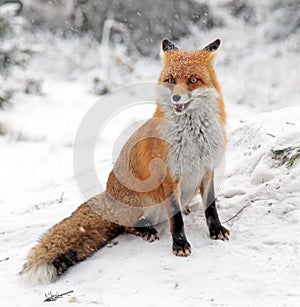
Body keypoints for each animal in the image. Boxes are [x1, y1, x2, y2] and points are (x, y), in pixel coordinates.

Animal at [21, 38, 230, 284]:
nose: (176, 97)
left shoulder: (207, 168)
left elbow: (211, 208)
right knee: (126, 226)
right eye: (170, 80)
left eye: (193, 80)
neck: (193, 138)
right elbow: (176, 219)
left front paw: (216, 231)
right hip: (138, 204)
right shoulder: (169, 176)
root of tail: (107, 199)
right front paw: (180, 244)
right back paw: (146, 231)